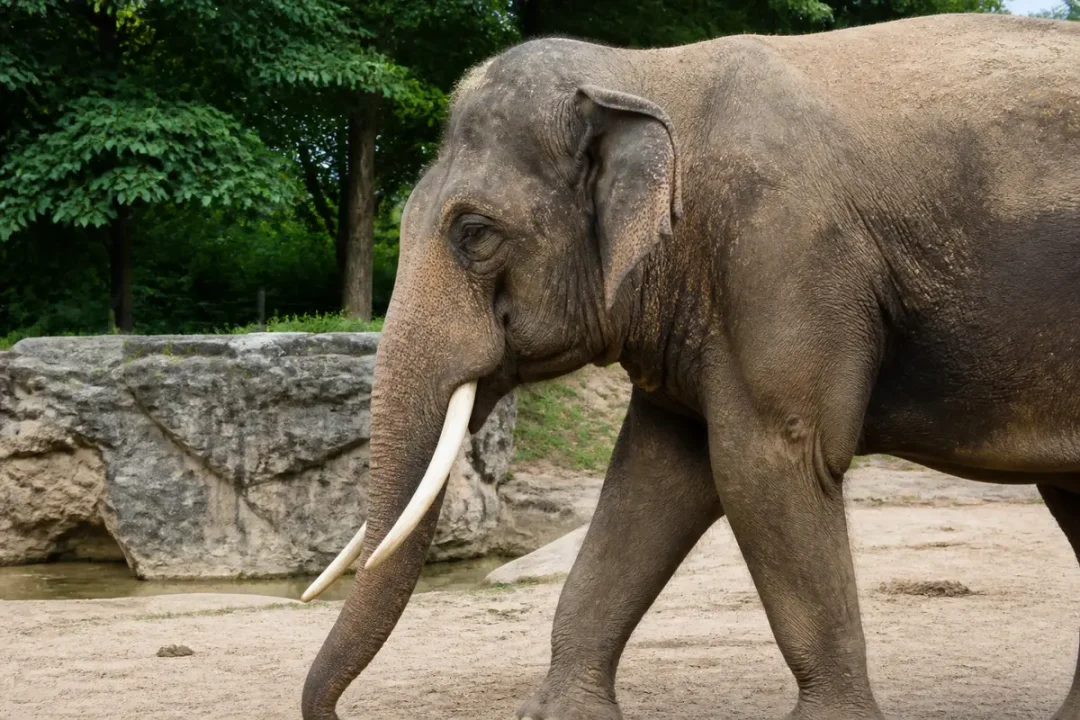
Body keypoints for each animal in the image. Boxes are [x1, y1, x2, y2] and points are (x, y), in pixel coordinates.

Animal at [300, 12, 1080, 720]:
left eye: (474, 232)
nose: (335, 713)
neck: (644, 74)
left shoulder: (783, 255)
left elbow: (763, 465)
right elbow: (654, 477)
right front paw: (559, 716)